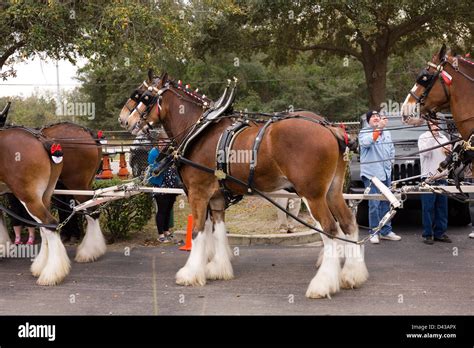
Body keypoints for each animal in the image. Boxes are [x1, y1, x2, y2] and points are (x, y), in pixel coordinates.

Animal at [0, 128, 70, 286]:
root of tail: (42, 140)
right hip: (44, 196)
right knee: (45, 228)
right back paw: (41, 266)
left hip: (29, 198)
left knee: (50, 224)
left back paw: (51, 274)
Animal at [117, 73, 366, 300]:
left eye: (144, 96)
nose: (123, 120)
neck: (198, 130)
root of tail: (330, 128)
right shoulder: (216, 197)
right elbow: (218, 230)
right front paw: (218, 268)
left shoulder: (198, 193)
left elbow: (198, 231)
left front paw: (190, 273)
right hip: (332, 191)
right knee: (347, 222)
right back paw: (352, 275)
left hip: (312, 194)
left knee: (330, 229)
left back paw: (322, 284)